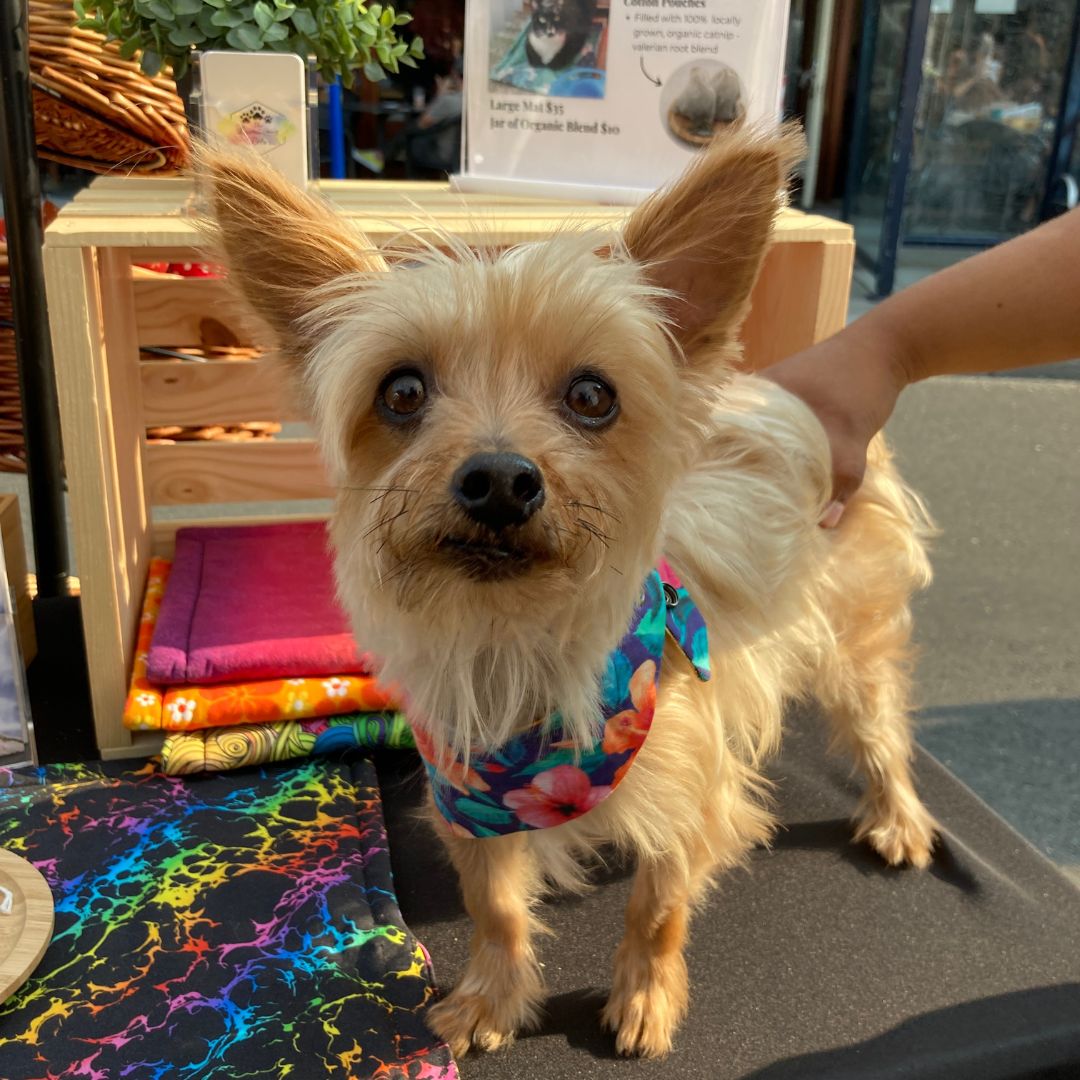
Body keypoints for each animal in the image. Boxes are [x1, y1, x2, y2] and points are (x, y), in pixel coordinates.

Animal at [200, 128, 937, 1062]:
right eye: (401, 391)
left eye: (592, 396)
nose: (500, 479)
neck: (519, 646)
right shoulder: (468, 803)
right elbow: (496, 909)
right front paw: (490, 1000)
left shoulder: (693, 789)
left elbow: (658, 908)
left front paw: (645, 998)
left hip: (852, 643)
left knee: (881, 730)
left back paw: (898, 816)